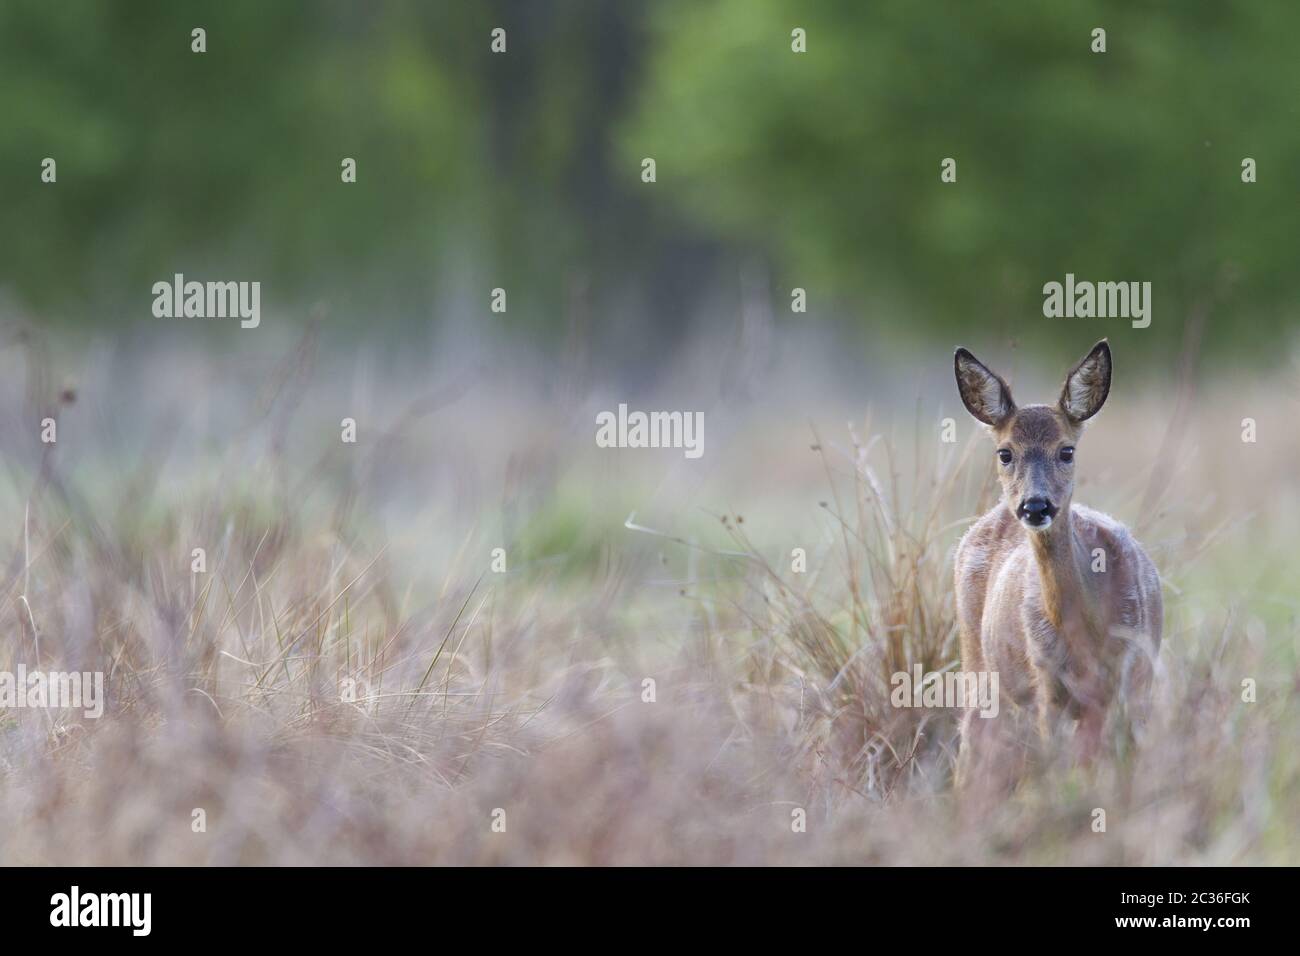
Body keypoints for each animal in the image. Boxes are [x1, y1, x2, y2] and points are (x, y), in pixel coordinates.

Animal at [951, 340, 1164, 790]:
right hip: (978, 664)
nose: (1035, 506)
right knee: (972, 748)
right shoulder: (1046, 682)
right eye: (1005, 453)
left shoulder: (1131, 678)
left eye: (1066, 450)